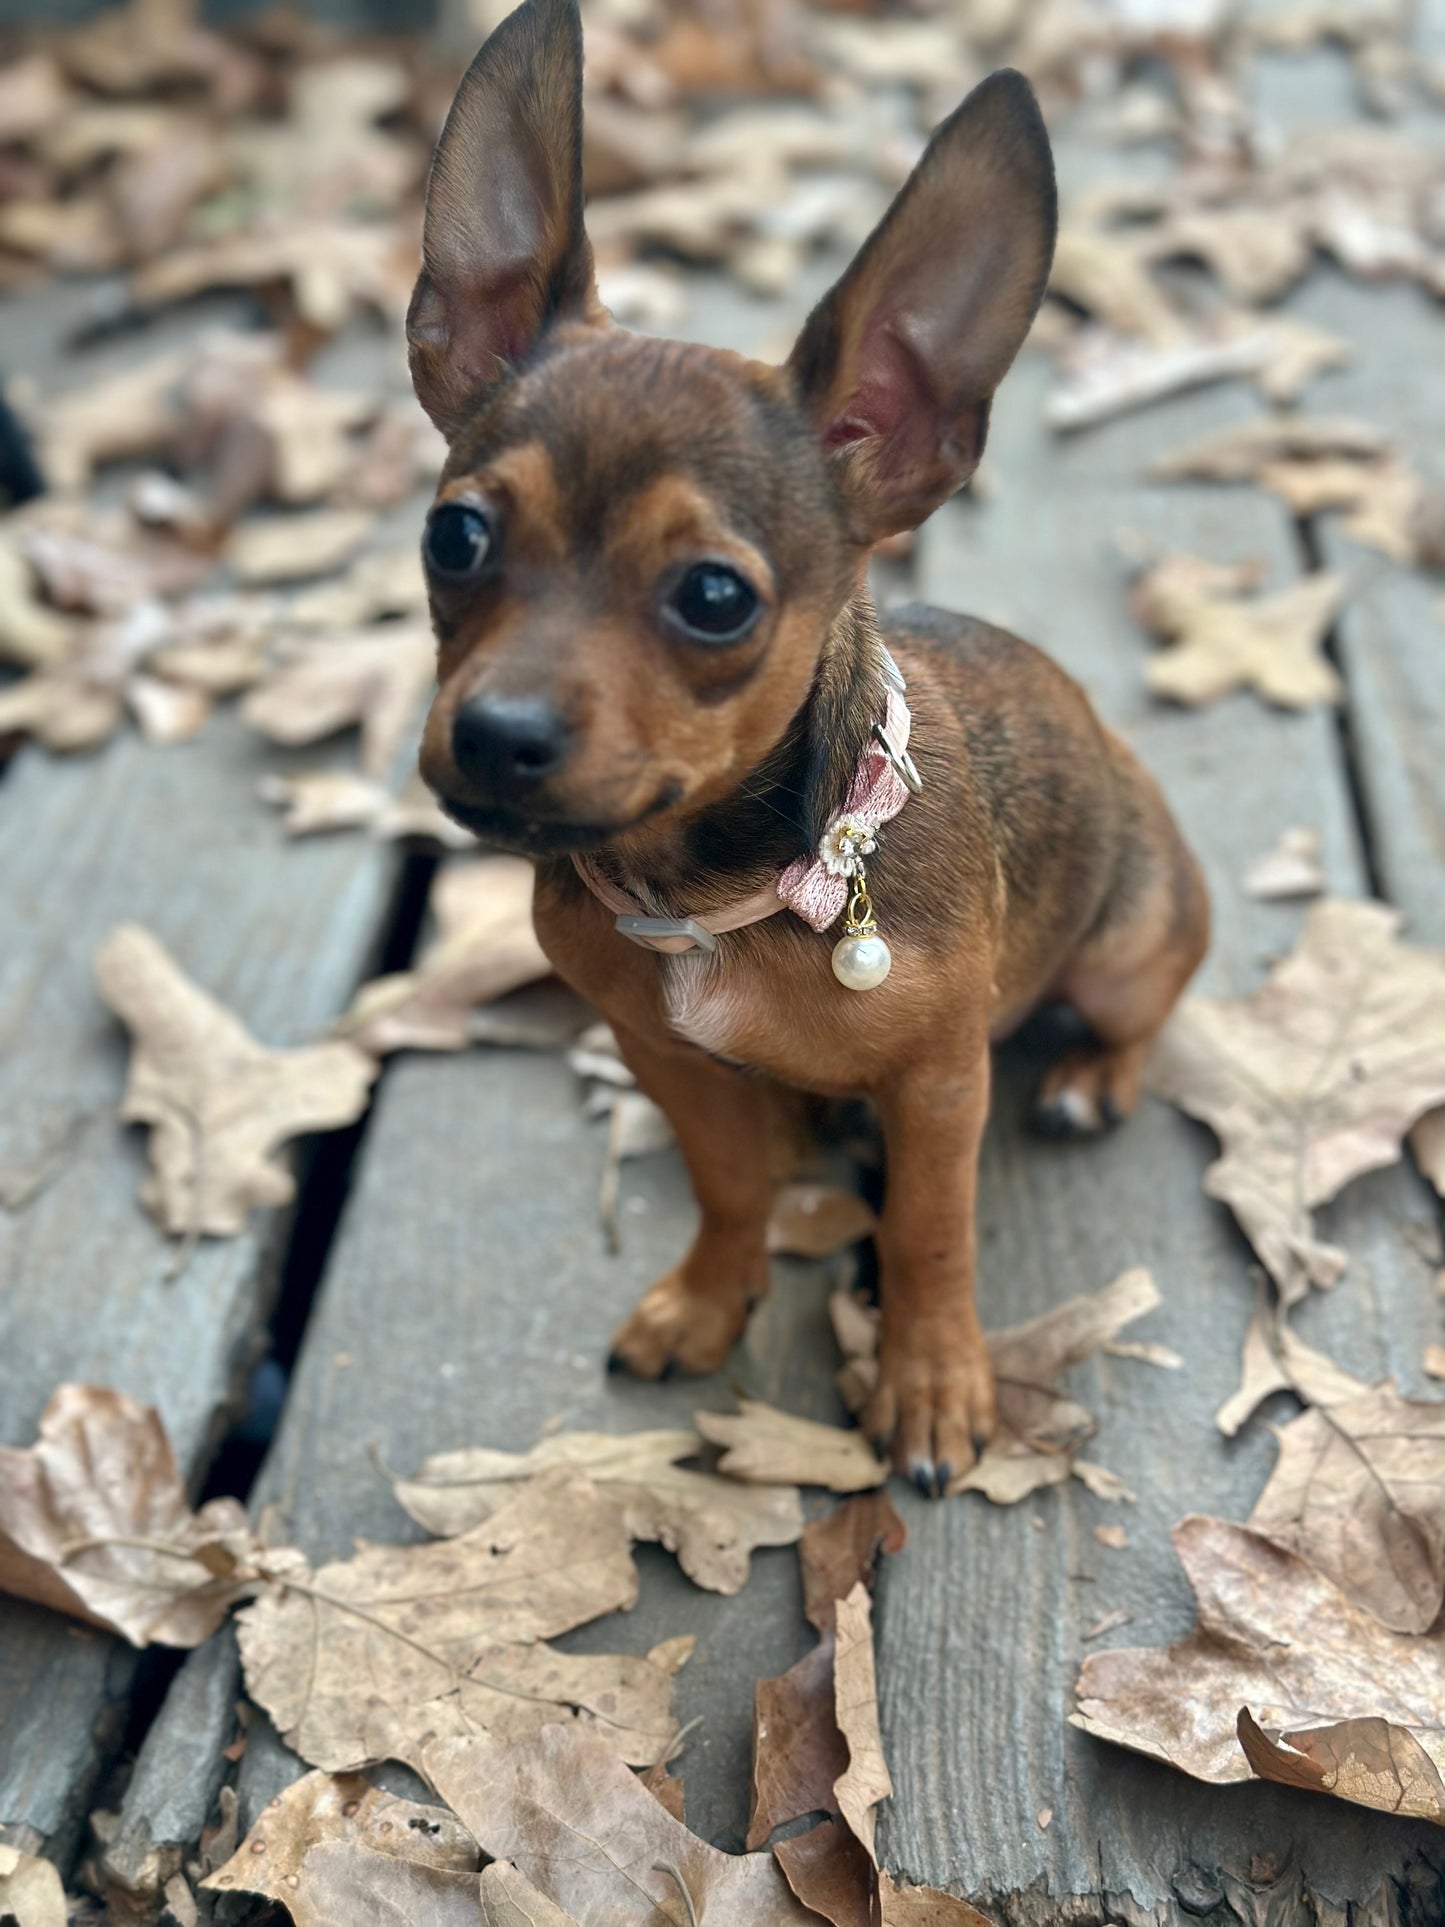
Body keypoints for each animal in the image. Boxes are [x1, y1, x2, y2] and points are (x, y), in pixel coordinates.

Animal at [408, 0, 1209, 1487]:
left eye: (715, 599)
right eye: (455, 537)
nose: (492, 734)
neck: (723, 891)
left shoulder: (939, 1088)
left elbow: (929, 1234)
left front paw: (932, 1381)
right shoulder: (663, 1055)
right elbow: (726, 1186)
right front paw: (708, 1298)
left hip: (1128, 944)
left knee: (1141, 1013)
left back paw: (1088, 1077)